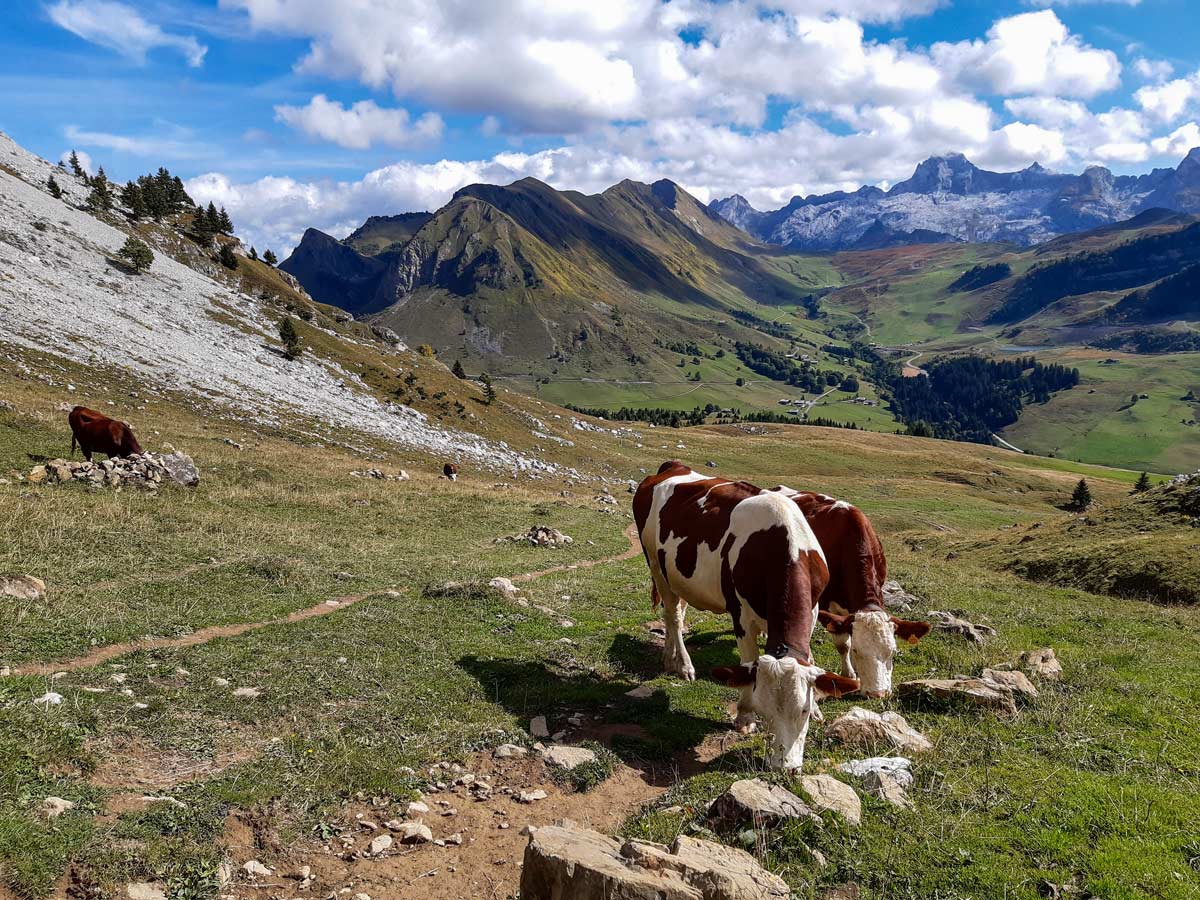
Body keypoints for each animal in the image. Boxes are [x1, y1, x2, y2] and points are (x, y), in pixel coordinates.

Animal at [633, 460, 859, 772]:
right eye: (764, 711)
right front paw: (744, 717)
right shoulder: (740, 615)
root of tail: (673, 466)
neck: (782, 545)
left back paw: (669, 659)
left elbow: (810, 660)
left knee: (675, 612)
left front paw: (817, 709)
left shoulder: (814, 610)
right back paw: (684, 665)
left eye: (801, 710)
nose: (784, 767)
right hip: (656, 566)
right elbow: (747, 662)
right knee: (672, 616)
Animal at [772, 489, 931, 700]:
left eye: (893, 652)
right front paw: (849, 673)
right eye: (857, 650)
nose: (877, 693)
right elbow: (842, 643)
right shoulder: (826, 603)